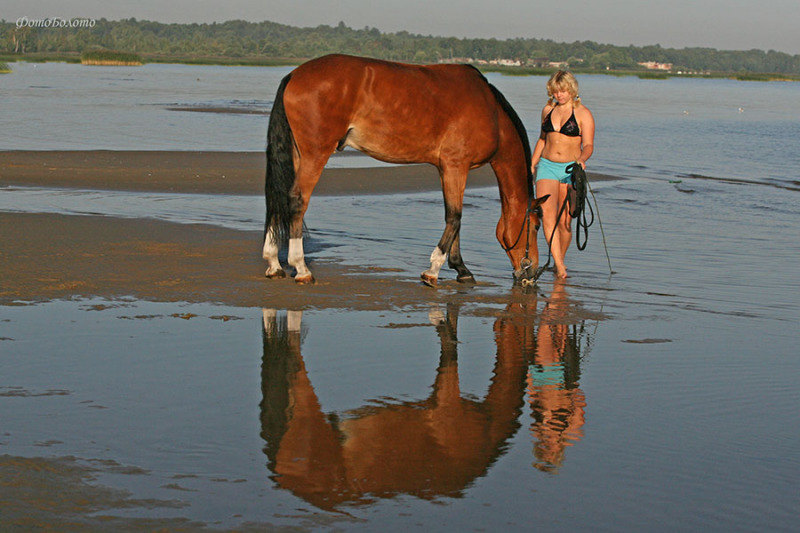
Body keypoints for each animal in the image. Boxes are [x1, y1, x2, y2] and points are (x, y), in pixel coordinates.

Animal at [262, 53, 552, 286]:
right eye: (537, 226)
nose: (531, 274)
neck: (490, 110)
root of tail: (294, 75)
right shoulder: (456, 165)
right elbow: (454, 217)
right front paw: (433, 270)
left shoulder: (448, 169)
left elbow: (455, 217)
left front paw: (462, 269)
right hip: (315, 154)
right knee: (297, 200)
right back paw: (301, 268)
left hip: (297, 154)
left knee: (278, 198)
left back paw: (274, 264)